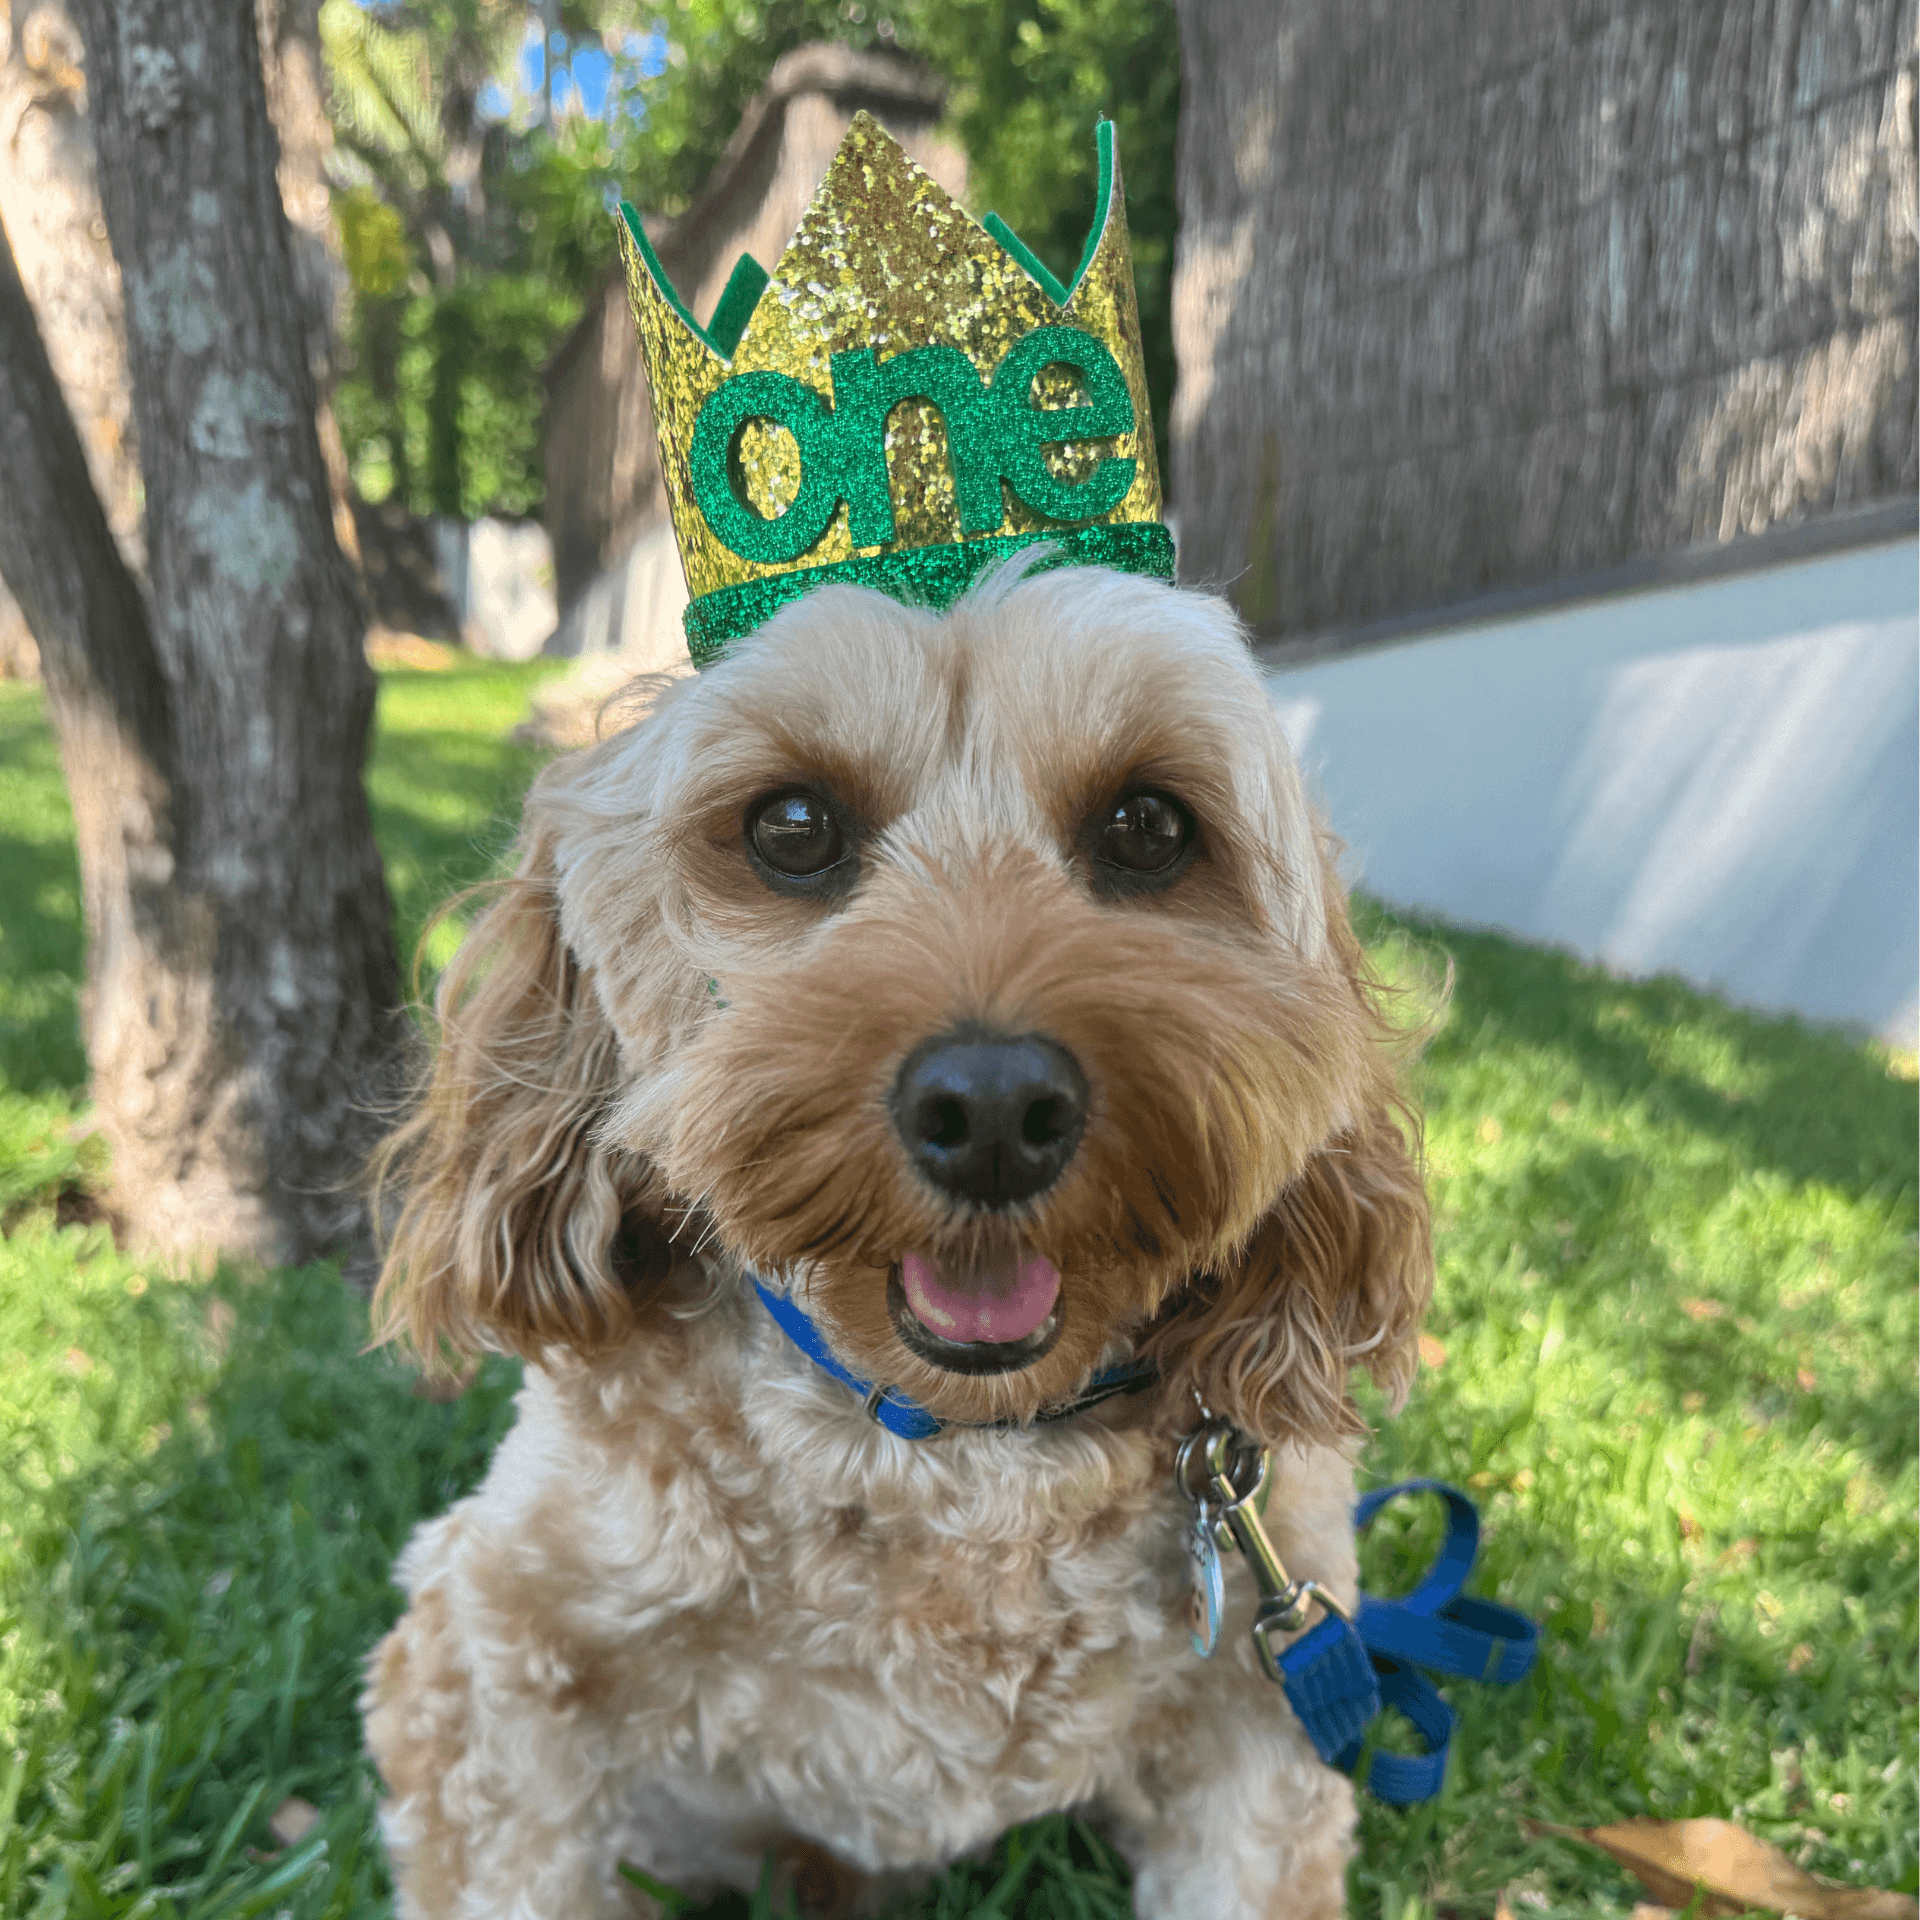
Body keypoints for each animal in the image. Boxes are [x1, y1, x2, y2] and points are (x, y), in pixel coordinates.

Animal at [366, 556, 1436, 1920]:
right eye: (793, 827)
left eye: (1149, 827)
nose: (993, 1111)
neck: (950, 1457)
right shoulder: (491, 1652)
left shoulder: (1270, 1706)